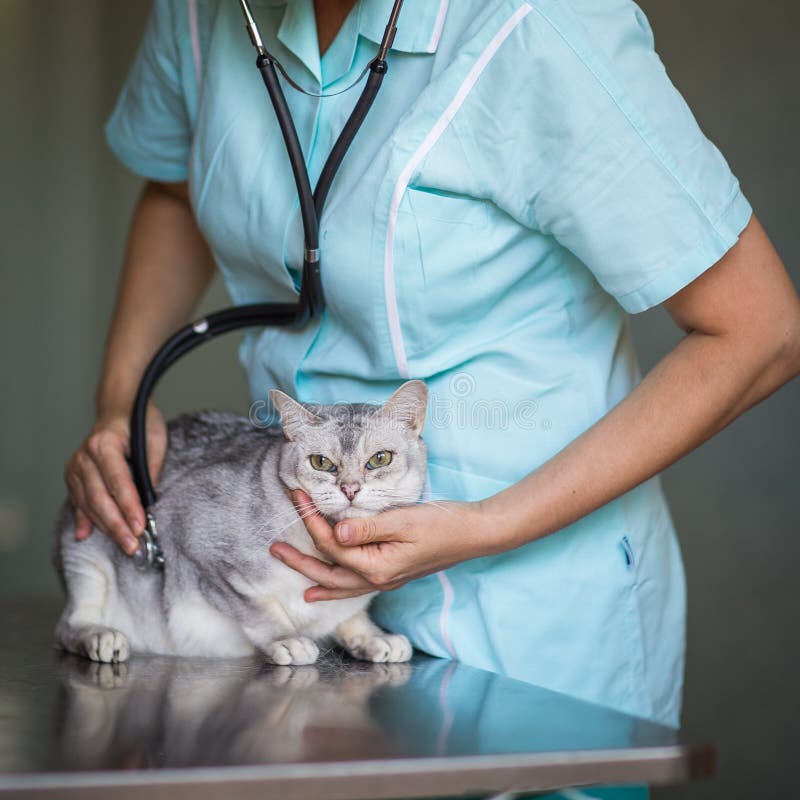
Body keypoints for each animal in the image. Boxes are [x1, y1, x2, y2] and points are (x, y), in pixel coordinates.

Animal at [52, 378, 428, 664]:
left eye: (380, 459)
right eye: (321, 462)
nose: (350, 489)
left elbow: (350, 615)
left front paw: (373, 637)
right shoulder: (194, 539)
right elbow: (257, 609)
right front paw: (286, 639)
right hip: (85, 555)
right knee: (67, 626)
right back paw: (99, 636)